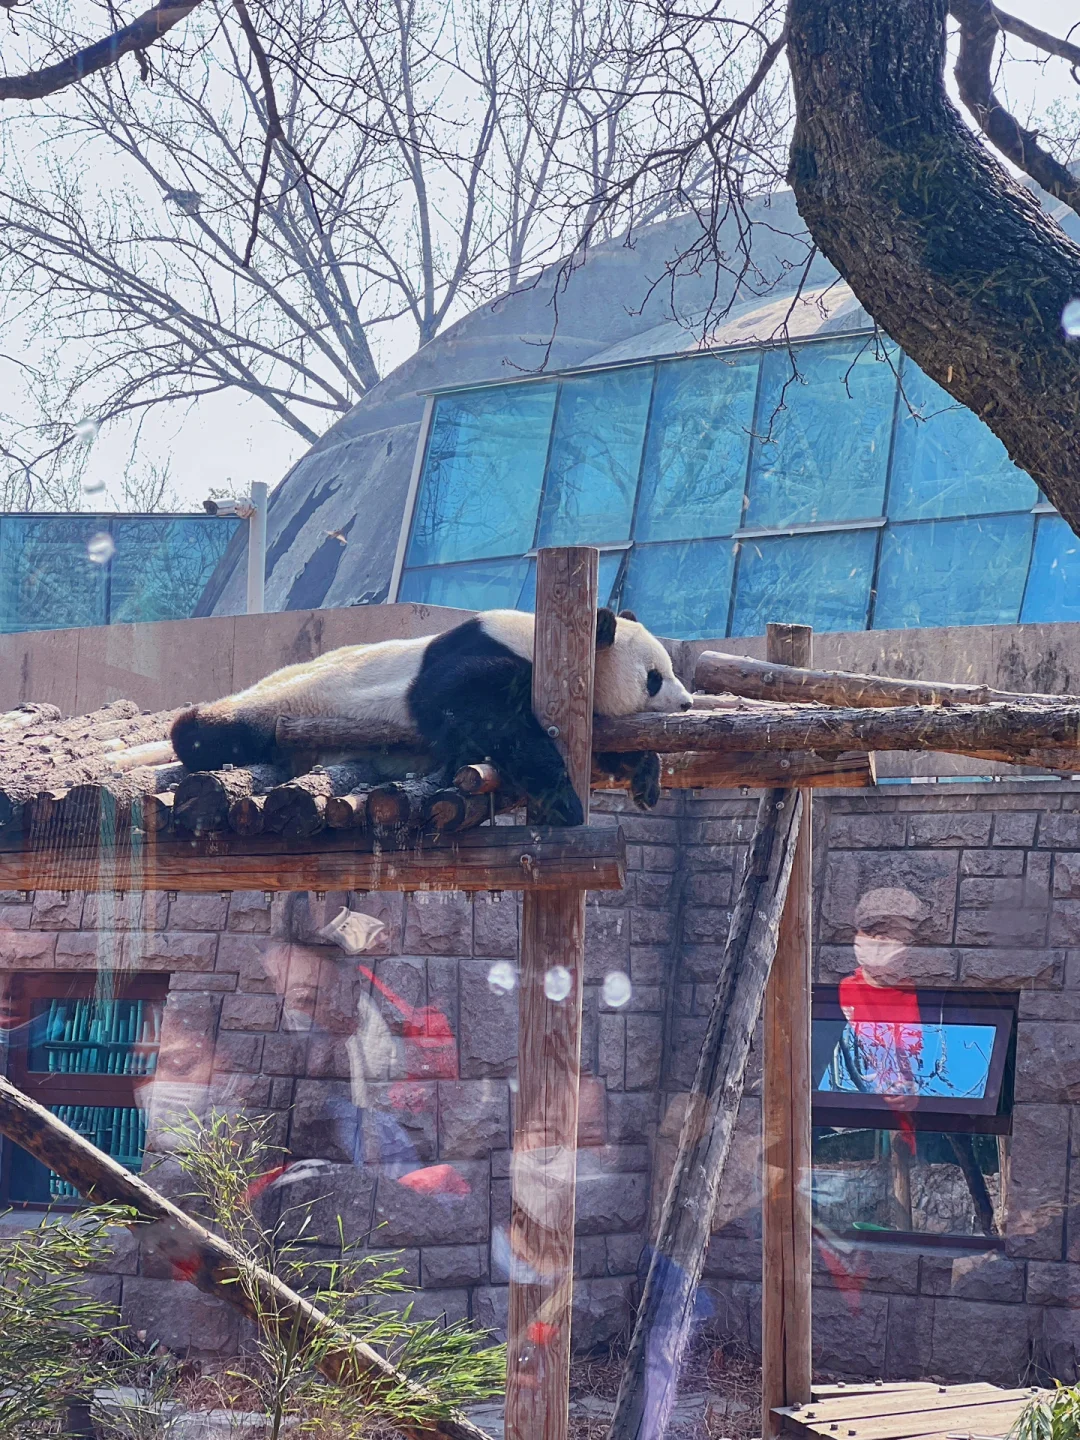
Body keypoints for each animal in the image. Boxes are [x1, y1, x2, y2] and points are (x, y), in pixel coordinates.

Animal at [170, 607, 693, 825]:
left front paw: (645, 779)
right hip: (276, 705)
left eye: (668, 671)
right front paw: (564, 802)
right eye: (654, 676)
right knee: (206, 733)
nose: (687, 702)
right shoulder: (481, 657)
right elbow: (463, 704)